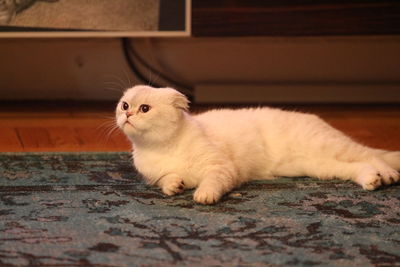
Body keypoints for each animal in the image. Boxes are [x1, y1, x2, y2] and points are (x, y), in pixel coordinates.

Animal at [115, 86, 400, 205]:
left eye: (144, 109)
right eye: (125, 105)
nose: (127, 114)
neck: (163, 147)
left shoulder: (222, 169)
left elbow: (210, 184)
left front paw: (202, 196)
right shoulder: (155, 177)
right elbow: (167, 181)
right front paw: (176, 187)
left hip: (330, 148)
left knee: (373, 156)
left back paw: (388, 176)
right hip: (321, 167)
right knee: (359, 166)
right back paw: (372, 181)